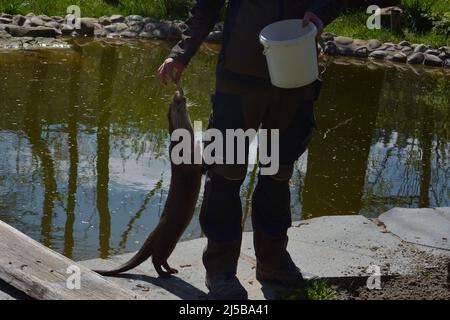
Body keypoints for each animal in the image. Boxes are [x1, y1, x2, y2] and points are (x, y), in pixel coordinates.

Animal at [95, 89, 202, 278]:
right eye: (175, 101)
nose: (179, 91)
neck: (185, 140)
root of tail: (151, 238)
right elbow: (196, 167)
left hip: (169, 244)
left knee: (160, 260)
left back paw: (171, 270)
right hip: (166, 243)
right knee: (156, 260)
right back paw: (165, 273)